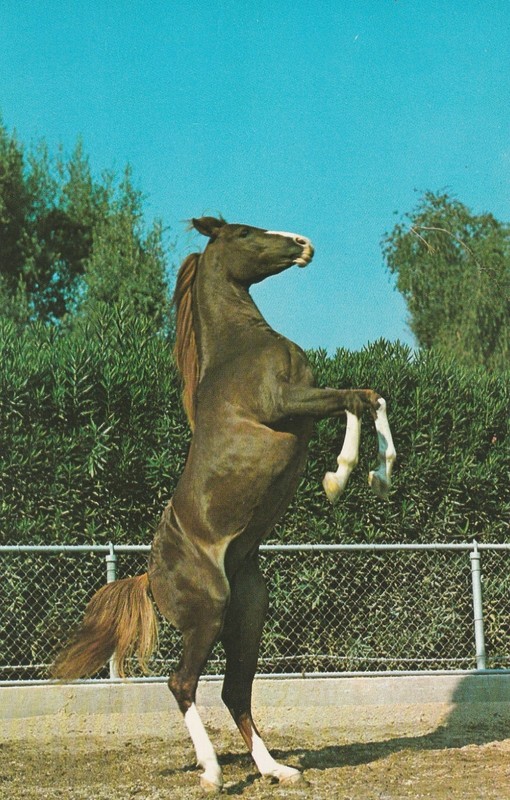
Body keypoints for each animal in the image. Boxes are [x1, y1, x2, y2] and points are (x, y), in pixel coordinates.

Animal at [52, 217, 396, 792]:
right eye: (245, 232)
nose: (303, 245)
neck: (241, 348)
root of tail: (150, 576)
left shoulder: (308, 400)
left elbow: (369, 398)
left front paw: (376, 475)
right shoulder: (286, 404)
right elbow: (355, 398)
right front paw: (342, 475)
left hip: (248, 614)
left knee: (235, 691)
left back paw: (276, 769)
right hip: (209, 612)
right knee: (182, 682)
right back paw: (212, 772)